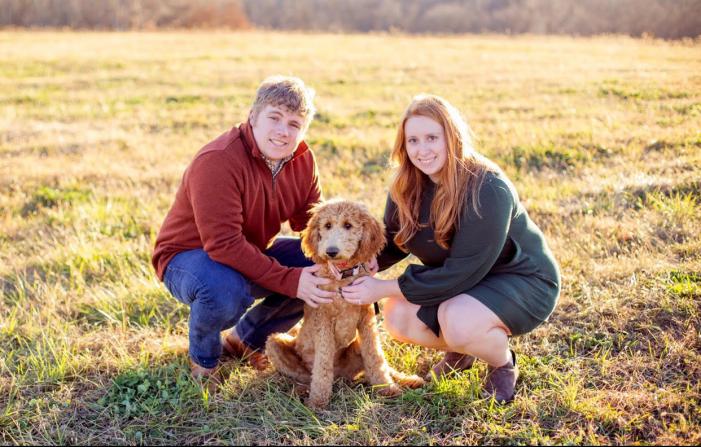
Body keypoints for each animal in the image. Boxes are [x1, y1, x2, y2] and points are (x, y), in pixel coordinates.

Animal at [266, 200, 424, 410]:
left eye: (348, 225)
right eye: (327, 225)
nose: (331, 252)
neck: (342, 276)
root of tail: (341, 377)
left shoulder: (367, 320)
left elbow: (376, 356)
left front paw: (386, 388)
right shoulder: (323, 320)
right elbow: (323, 362)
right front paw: (318, 400)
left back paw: (407, 379)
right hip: (274, 343)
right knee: (302, 375)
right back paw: (302, 390)